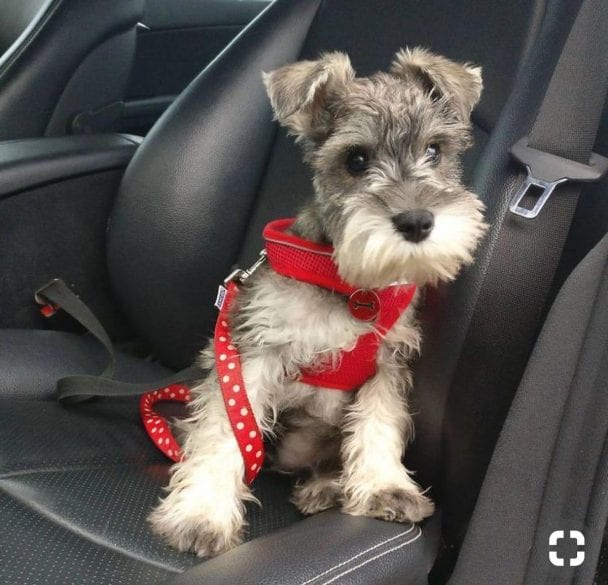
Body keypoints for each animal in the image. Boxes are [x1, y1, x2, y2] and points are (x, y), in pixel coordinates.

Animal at [150, 46, 486, 556]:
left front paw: (386, 486)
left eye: (435, 149)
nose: (416, 221)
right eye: (356, 159)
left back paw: (326, 487)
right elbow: (227, 429)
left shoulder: (387, 362)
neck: (354, 289)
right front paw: (201, 513)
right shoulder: (254, 352)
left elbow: (379, 422)